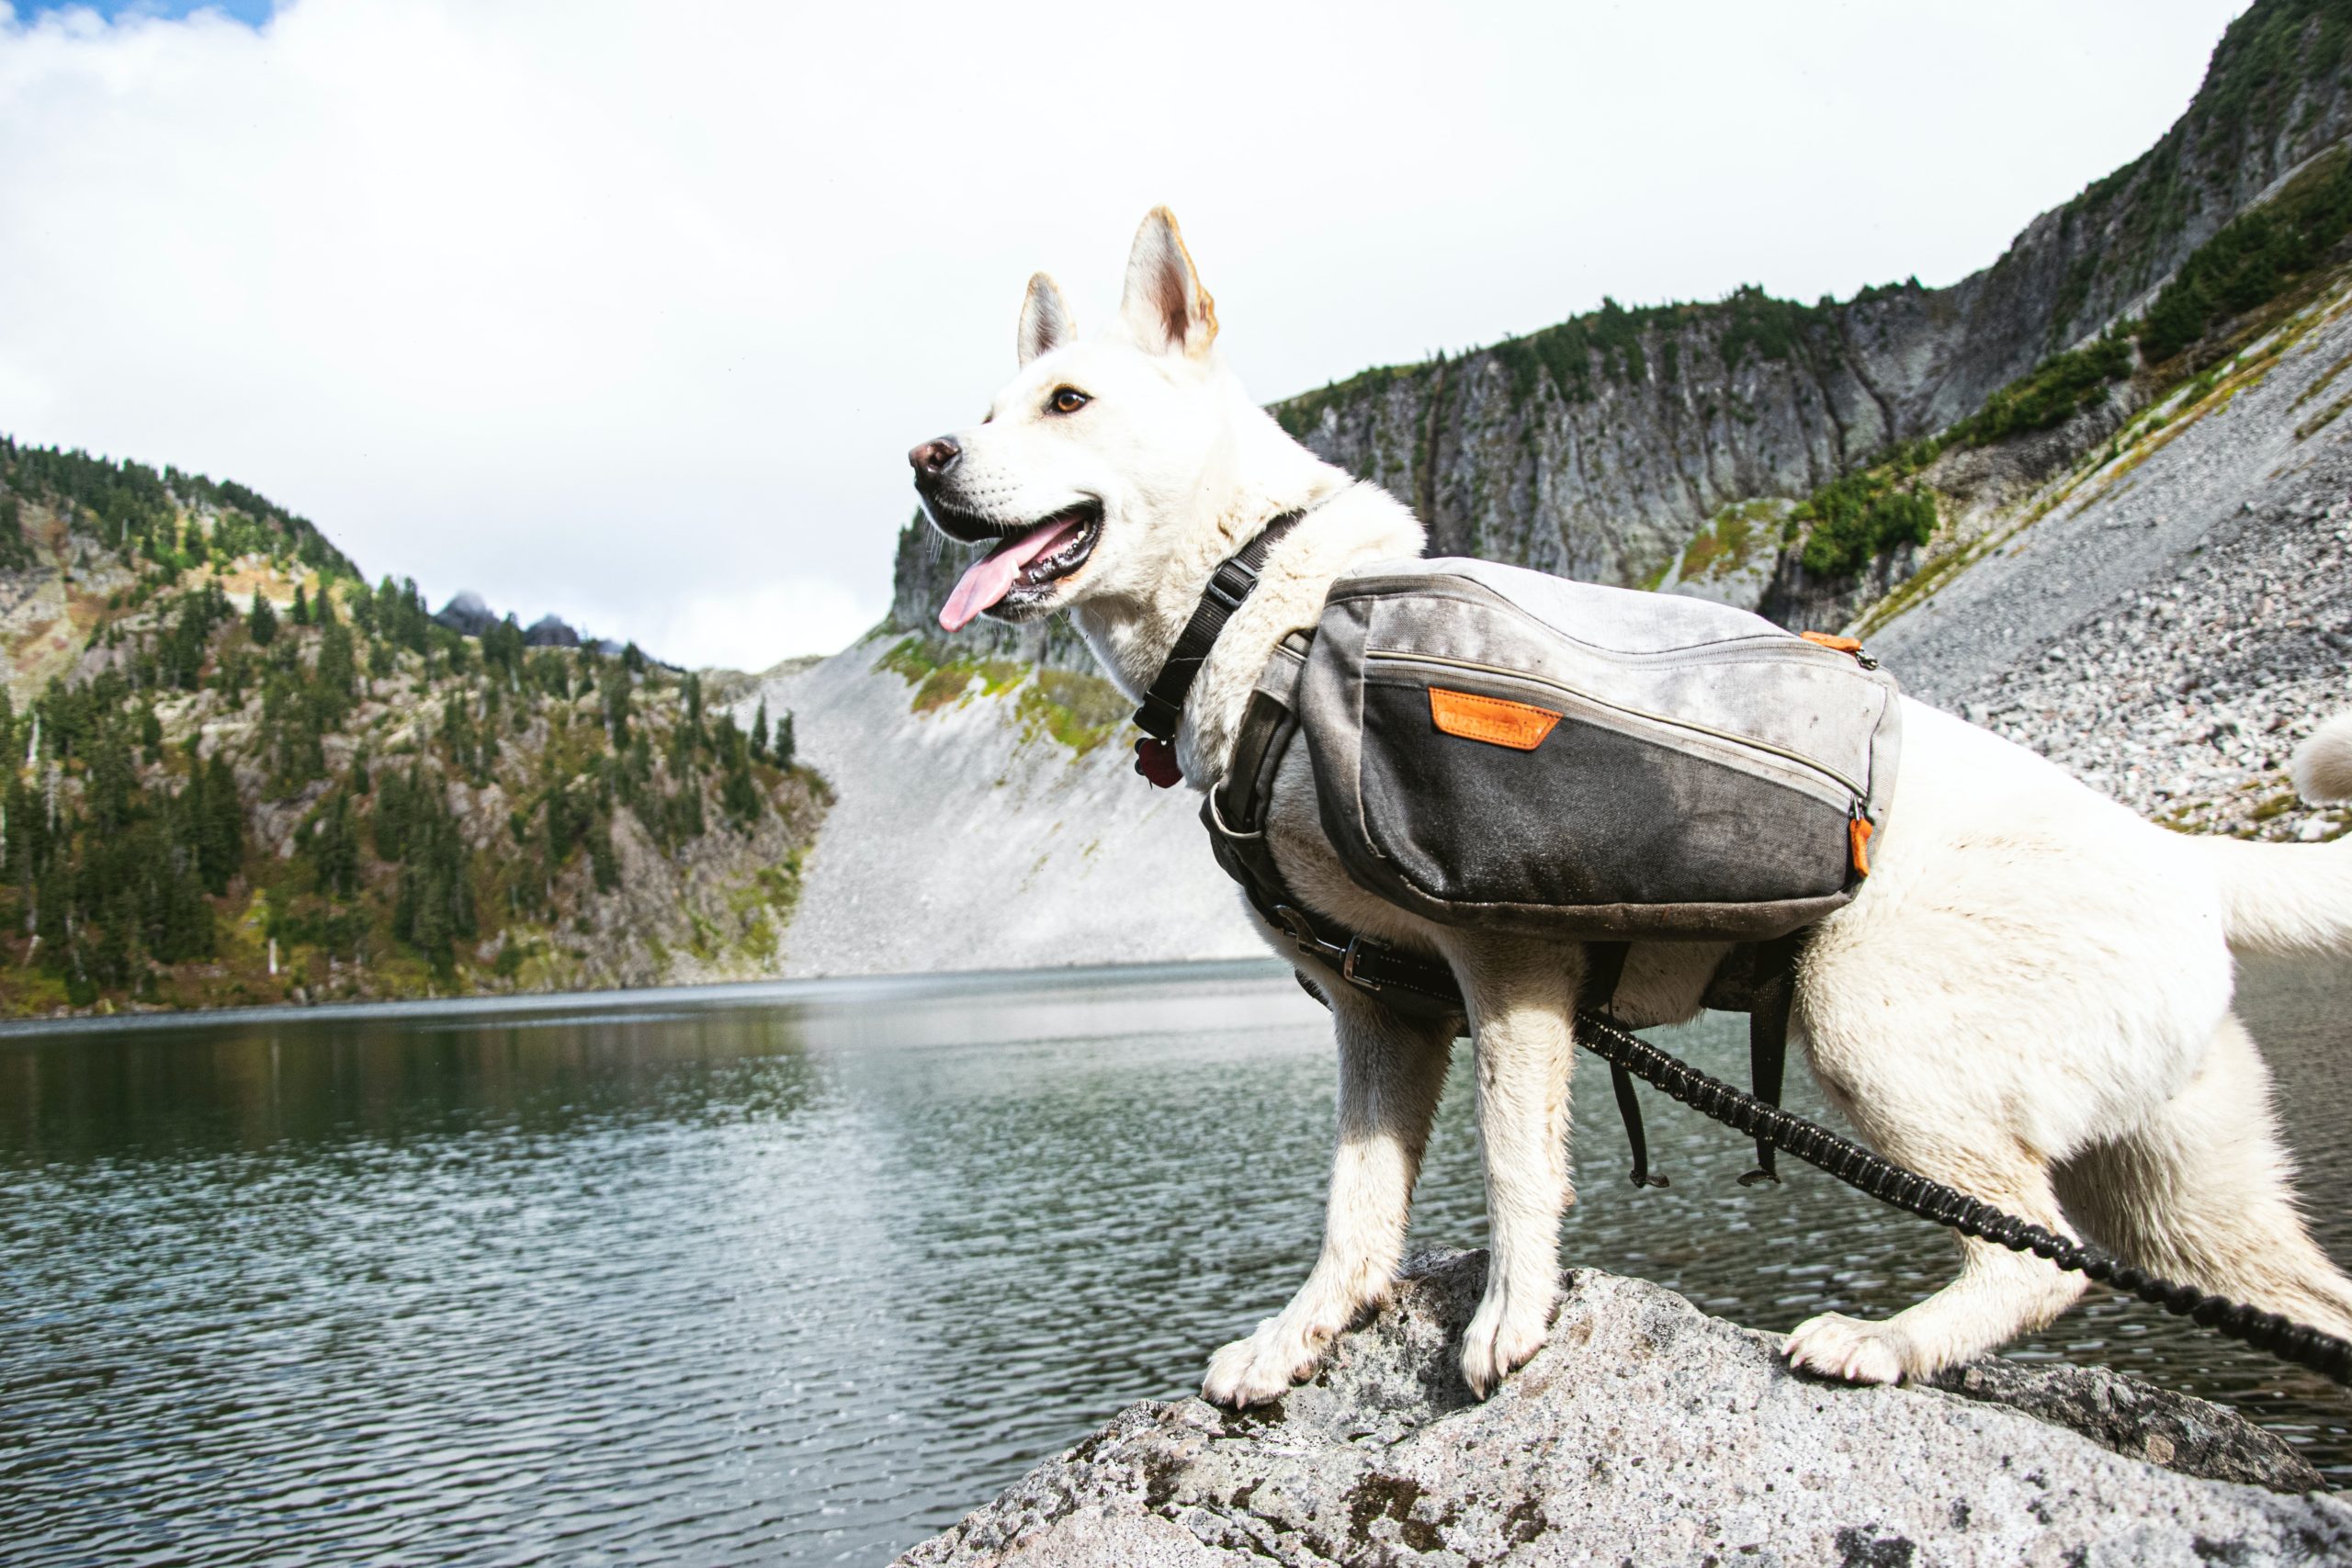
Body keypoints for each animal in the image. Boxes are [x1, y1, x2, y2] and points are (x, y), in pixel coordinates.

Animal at [908, 211, 2352, 1410]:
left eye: (1068, 401)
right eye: (982, 409)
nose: (924, 457)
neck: (1265, 605)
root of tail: (2184, 857)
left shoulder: (1506, 969)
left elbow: (1513, 1163)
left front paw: (1509, 1321)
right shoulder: (1380, 1011)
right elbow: (1355, 1212)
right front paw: (1297, 1340)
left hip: (1868, 1025)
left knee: (2040, 1261)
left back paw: (1880, 1341)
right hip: (2182, 1197)